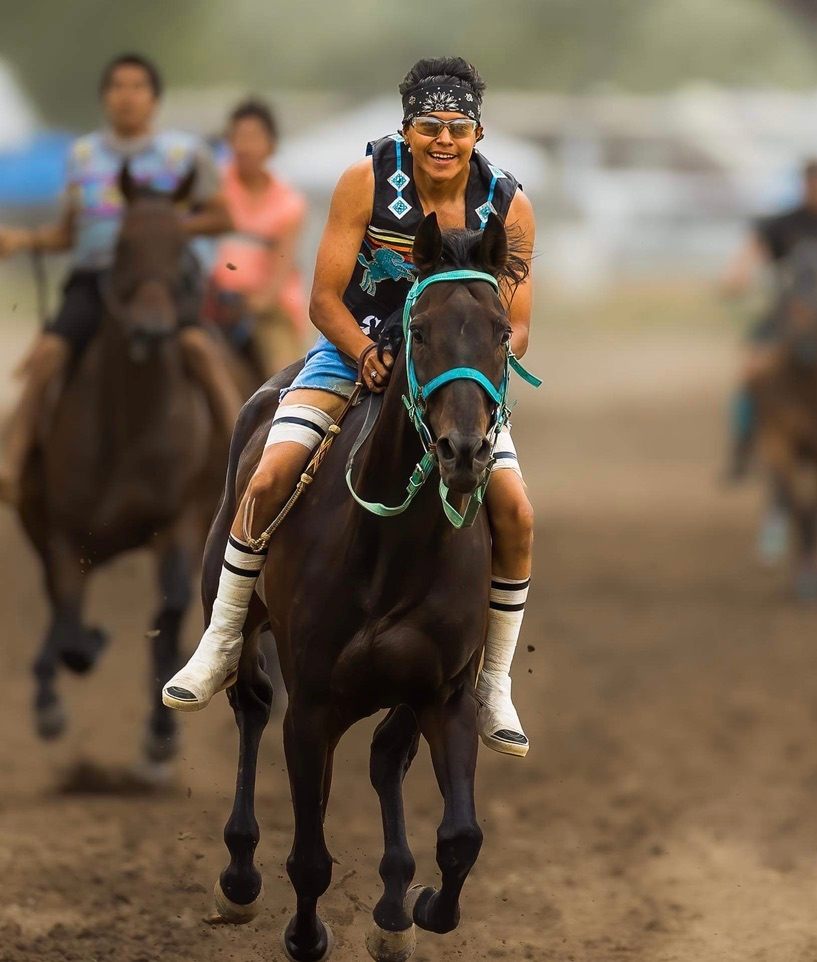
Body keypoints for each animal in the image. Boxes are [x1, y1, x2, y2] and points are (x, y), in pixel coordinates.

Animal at [18, 167, 242, 772]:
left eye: (182, 248)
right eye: (121, 246)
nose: (150, 330)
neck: (129, 427)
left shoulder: (179, 521)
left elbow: (171, 611)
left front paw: (162, 734)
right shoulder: (63, 529)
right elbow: (69, 620)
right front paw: (61, 684)